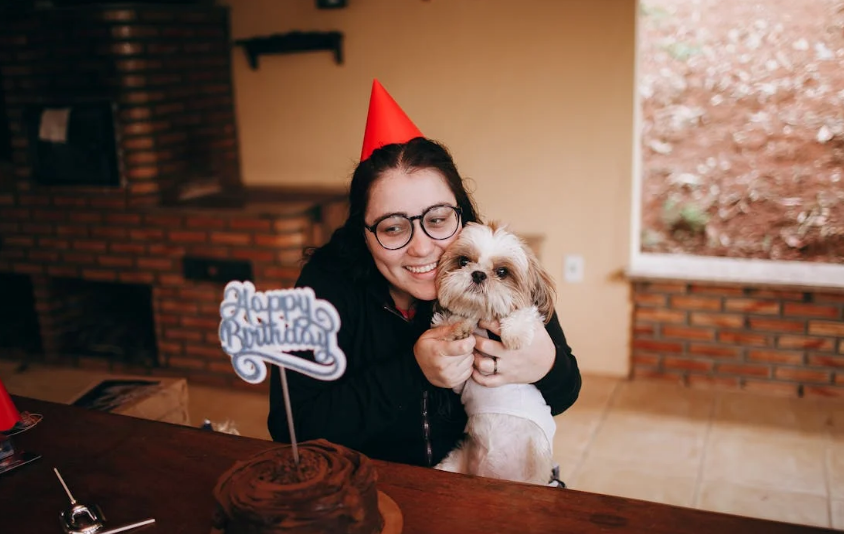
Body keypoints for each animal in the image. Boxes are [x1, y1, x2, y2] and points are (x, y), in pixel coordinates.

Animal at [432, 221, 557, 485]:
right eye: (463, 261)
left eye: (502, 272)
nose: (478, 274)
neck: (481, 315)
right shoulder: (459, 383)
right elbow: (452, 321)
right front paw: (458, 327)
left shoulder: (529, 312)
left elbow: (524, 311)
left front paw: (514, 333)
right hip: (455, 461)